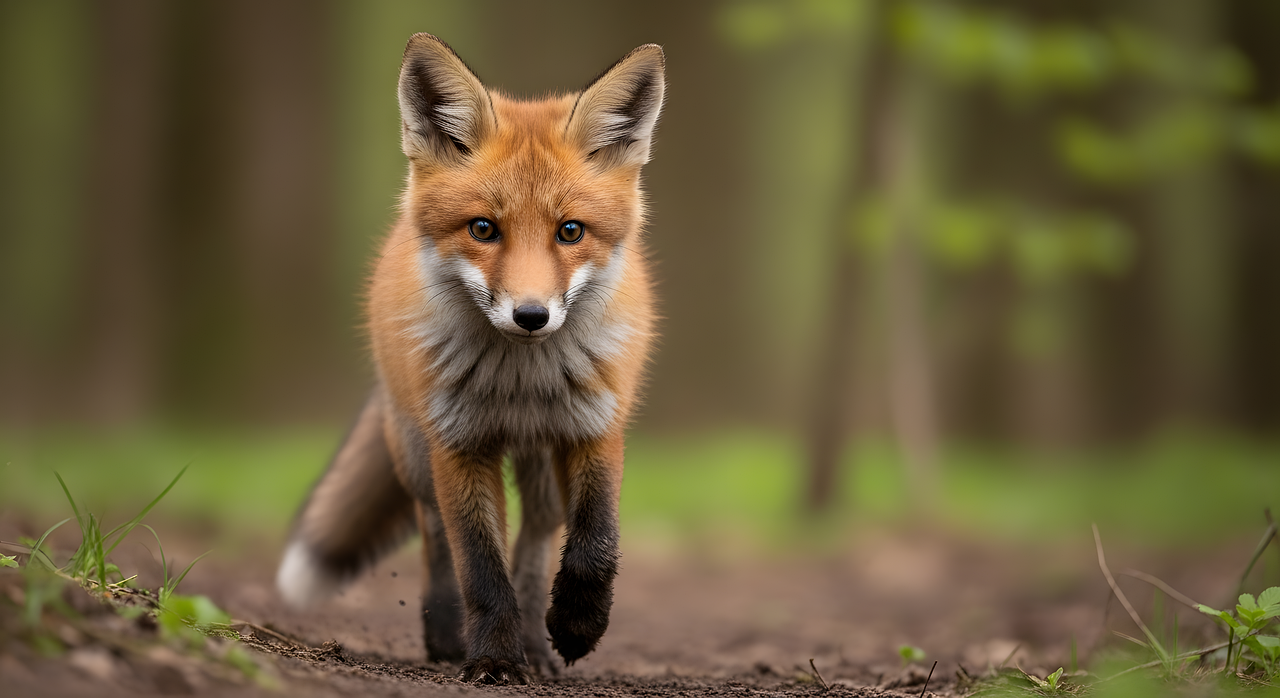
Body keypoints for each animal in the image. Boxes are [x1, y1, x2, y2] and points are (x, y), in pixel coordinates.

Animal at [275, 34, 664, 684]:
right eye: (483, 229)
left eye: (570, 231)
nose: (531, 316)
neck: (521, 383)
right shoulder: (459, 444)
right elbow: (480, 566)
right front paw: (495, 659)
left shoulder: (595, 426)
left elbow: (595, 545)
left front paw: (575, 627)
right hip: (414, 450)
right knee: (435, 531)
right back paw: (448, 633)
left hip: (541, 463)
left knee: (538, 538)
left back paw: (539, 641)